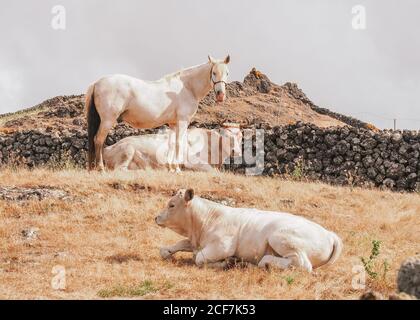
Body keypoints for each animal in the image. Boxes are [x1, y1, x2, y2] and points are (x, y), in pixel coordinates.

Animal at [85, 54, 230, 172]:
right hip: (107, 120)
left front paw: (171, 168)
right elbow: (179, 143)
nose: (220, 95)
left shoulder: (173, 123)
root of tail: (97, 83)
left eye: (227, 73)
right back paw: (100, 168)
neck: (187, 87)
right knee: (98, 140)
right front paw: (177, 169)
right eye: (214, 72)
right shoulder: (182, 121)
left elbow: (172, 144)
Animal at [156, 189, 342, 272]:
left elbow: (199, 258)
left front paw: (227, 262)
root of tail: (329, 234)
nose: (156, 217)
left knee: (302, 264)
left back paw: (263, 262)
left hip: (280, 237)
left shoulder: (223, 246)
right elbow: (177, 245)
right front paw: (167, 251)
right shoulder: (196, 241)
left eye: (172, 205)